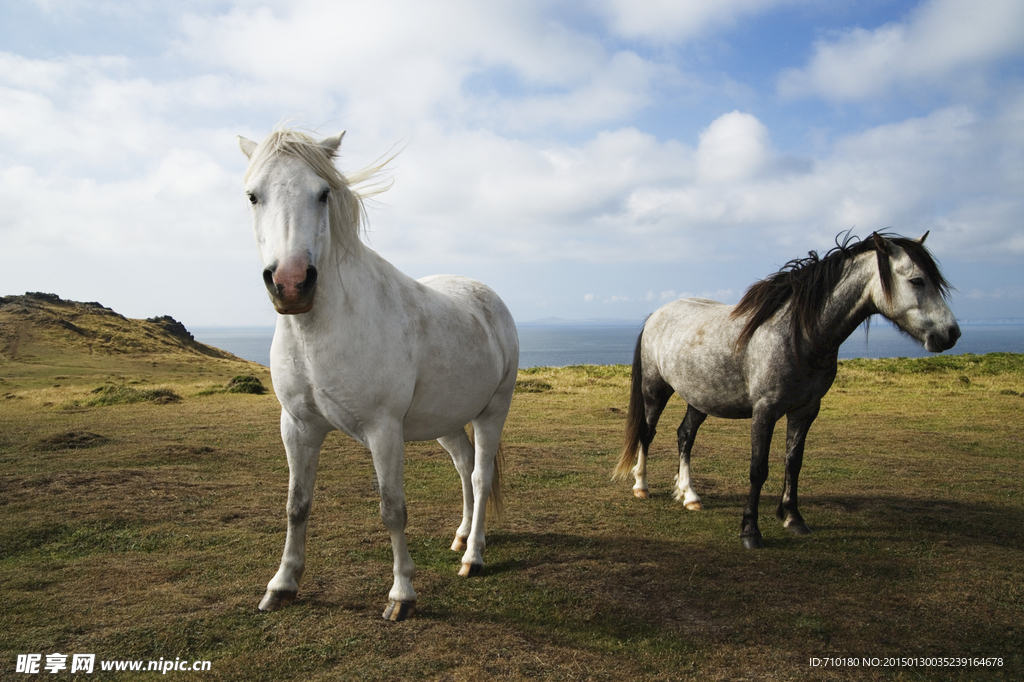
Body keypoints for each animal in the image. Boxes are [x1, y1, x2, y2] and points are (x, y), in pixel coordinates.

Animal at [237, 128, 519, 620]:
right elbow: (296, 505)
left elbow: (392, 509)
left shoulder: (383, 430)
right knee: (464, 466)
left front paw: (401, 594)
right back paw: (462, 536)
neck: (320, 331)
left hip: (493, 412)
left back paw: (473, 556)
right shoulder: (297, 427)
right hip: (445, 421)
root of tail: (487, 296)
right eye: (254, 195)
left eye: (323, 193)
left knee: (481, 476)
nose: (291, 284)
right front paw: (282, 584)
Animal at [614, 232, 959, 549]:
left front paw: (793, 518)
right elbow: (758, 469)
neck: (799, 335)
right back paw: (641, 486)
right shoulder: (765, 411)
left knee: (685, 436)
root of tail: (657, 314)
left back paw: (690, 495)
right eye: (917, 281)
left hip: (700, 398)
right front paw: (750, 531)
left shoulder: (806, 410)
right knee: (647, 432)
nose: (951, 333)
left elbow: (794, 462)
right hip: (655, 391)